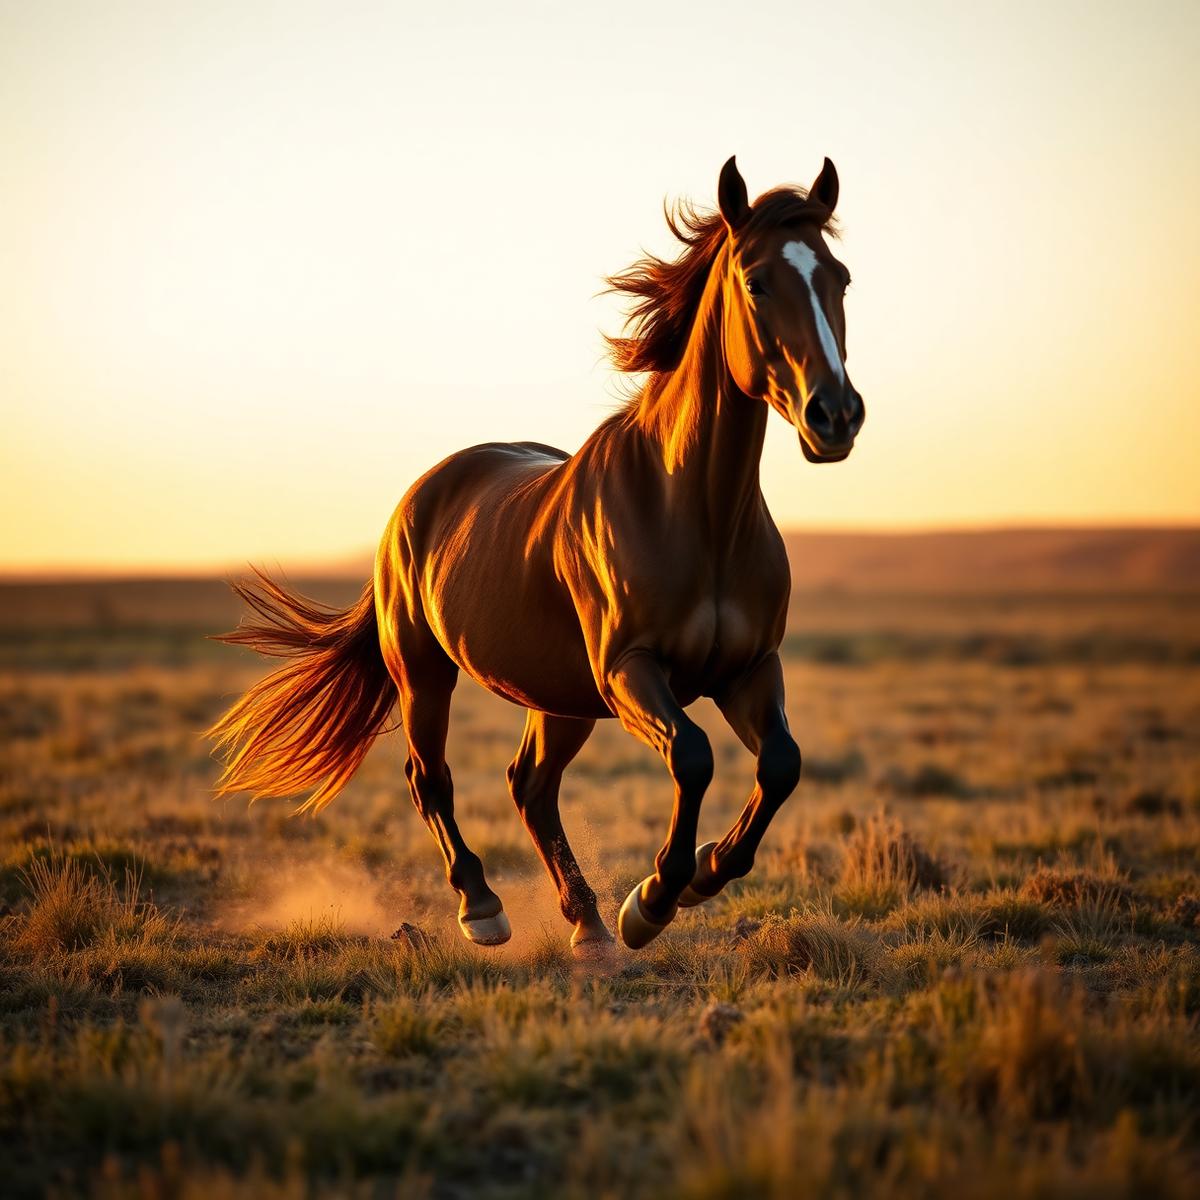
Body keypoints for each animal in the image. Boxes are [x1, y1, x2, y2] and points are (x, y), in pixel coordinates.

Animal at [209, 155, 865, 954]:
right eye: (757, 281)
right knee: (430, 777)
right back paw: (484, 908)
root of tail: (417, 501)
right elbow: (693, 755)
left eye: (840, 278)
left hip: (558, 698)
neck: (695, 511)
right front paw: (652, 901)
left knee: (531, 786)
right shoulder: (629, 670)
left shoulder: (746, 669)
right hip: (425, 673)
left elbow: (780, 766)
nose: (835, 415)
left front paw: (701, 874)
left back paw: (586, 921)